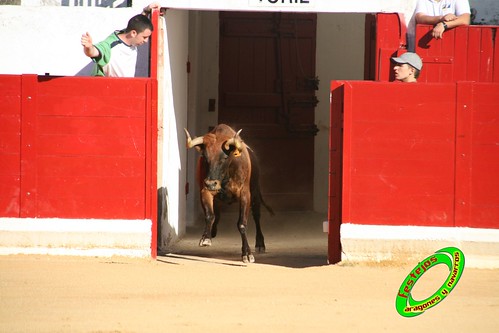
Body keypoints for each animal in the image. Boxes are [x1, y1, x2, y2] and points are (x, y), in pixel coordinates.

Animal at [186, 122, 276, 262]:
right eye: (205, 157)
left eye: (224, 157)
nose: (211, 183)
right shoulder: (205, 191)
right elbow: (210, 215)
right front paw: (206, 237)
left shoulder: (245, 195)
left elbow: (242, 224)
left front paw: (247, 253)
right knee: (216, 214)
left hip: (255, 193)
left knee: (257, 216)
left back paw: (260, 243)